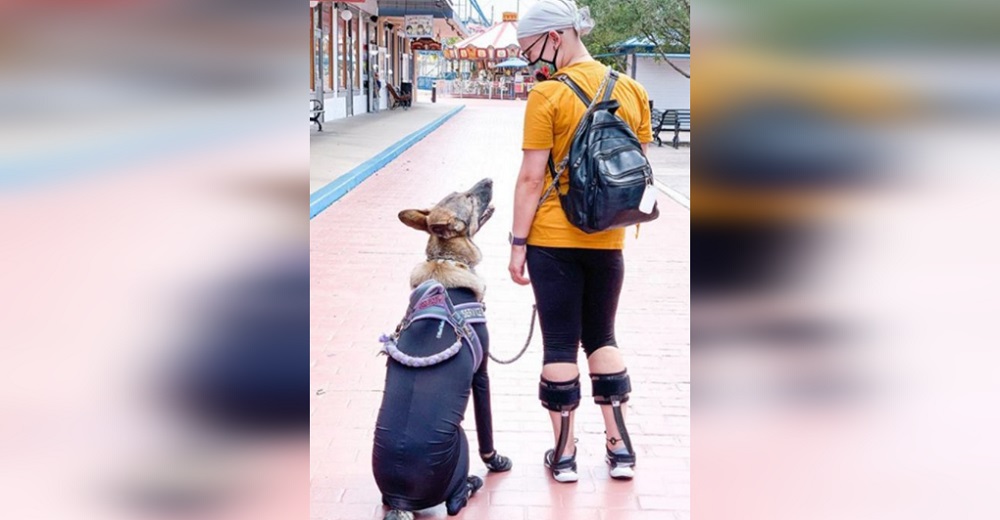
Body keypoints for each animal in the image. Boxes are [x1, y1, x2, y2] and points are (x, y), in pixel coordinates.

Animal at [376, 179, 516, 520]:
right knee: (454, 503)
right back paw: (472, 483)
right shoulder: (481, 375)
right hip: (460, 438)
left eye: (461, 192)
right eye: (469, 198)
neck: (446, 260)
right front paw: (496, 462)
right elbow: (487, 430)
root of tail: (400, 500)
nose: (489, 180)